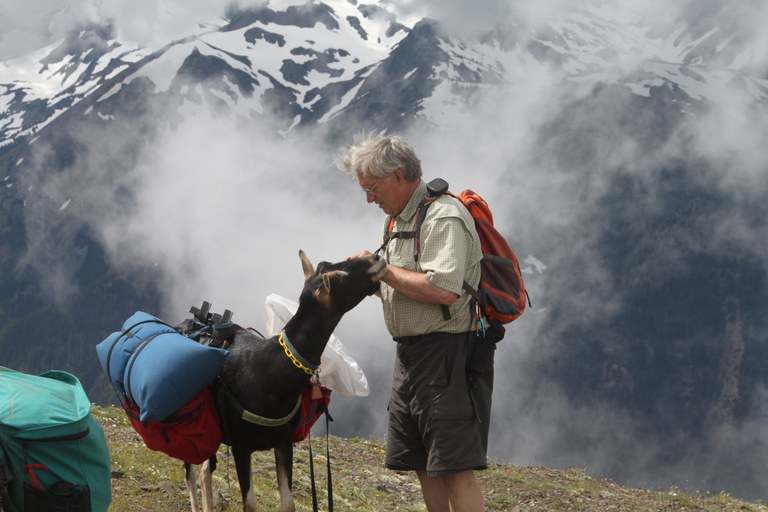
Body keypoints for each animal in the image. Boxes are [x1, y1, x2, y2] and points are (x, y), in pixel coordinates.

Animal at [185, 250, 386, 512]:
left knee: (205, 469)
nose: (376, 257)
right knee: (191, 471)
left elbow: (288, 502)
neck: (269, 373)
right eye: (337, 278)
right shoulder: (241, 445)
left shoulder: (283, 442)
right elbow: (250, 504)